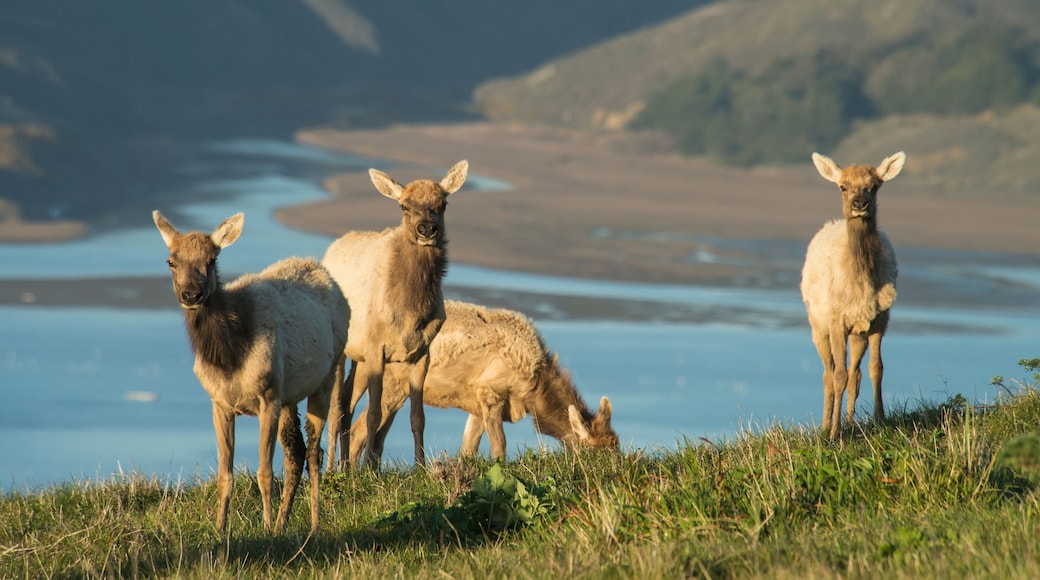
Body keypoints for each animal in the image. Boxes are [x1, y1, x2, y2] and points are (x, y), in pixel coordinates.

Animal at [153, 210, 348, 534]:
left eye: (212, 259)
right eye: (171, 260)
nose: (191, 294)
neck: (230, 358)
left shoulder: (267, 395)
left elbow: (264, 473)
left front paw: (266, 528)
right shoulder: (219, 403)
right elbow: (225, 475)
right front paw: (220, 529)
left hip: (326, 375)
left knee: (314, 451)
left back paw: (313, 523)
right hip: (288, 395)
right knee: (295, 452)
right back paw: (284, 523)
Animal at [799, 151, 905, 439]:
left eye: (875, 185)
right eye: (842, 187)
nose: (860, 203)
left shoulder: (880, 318)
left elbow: (876, 368)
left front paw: (881, 421)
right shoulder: (837, 319)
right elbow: (838, 376)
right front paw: (835, 434)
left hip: (859, 333)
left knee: (854, 372)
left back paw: (849, 421)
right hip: (817, 324)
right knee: (828, 372)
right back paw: (826, 426)